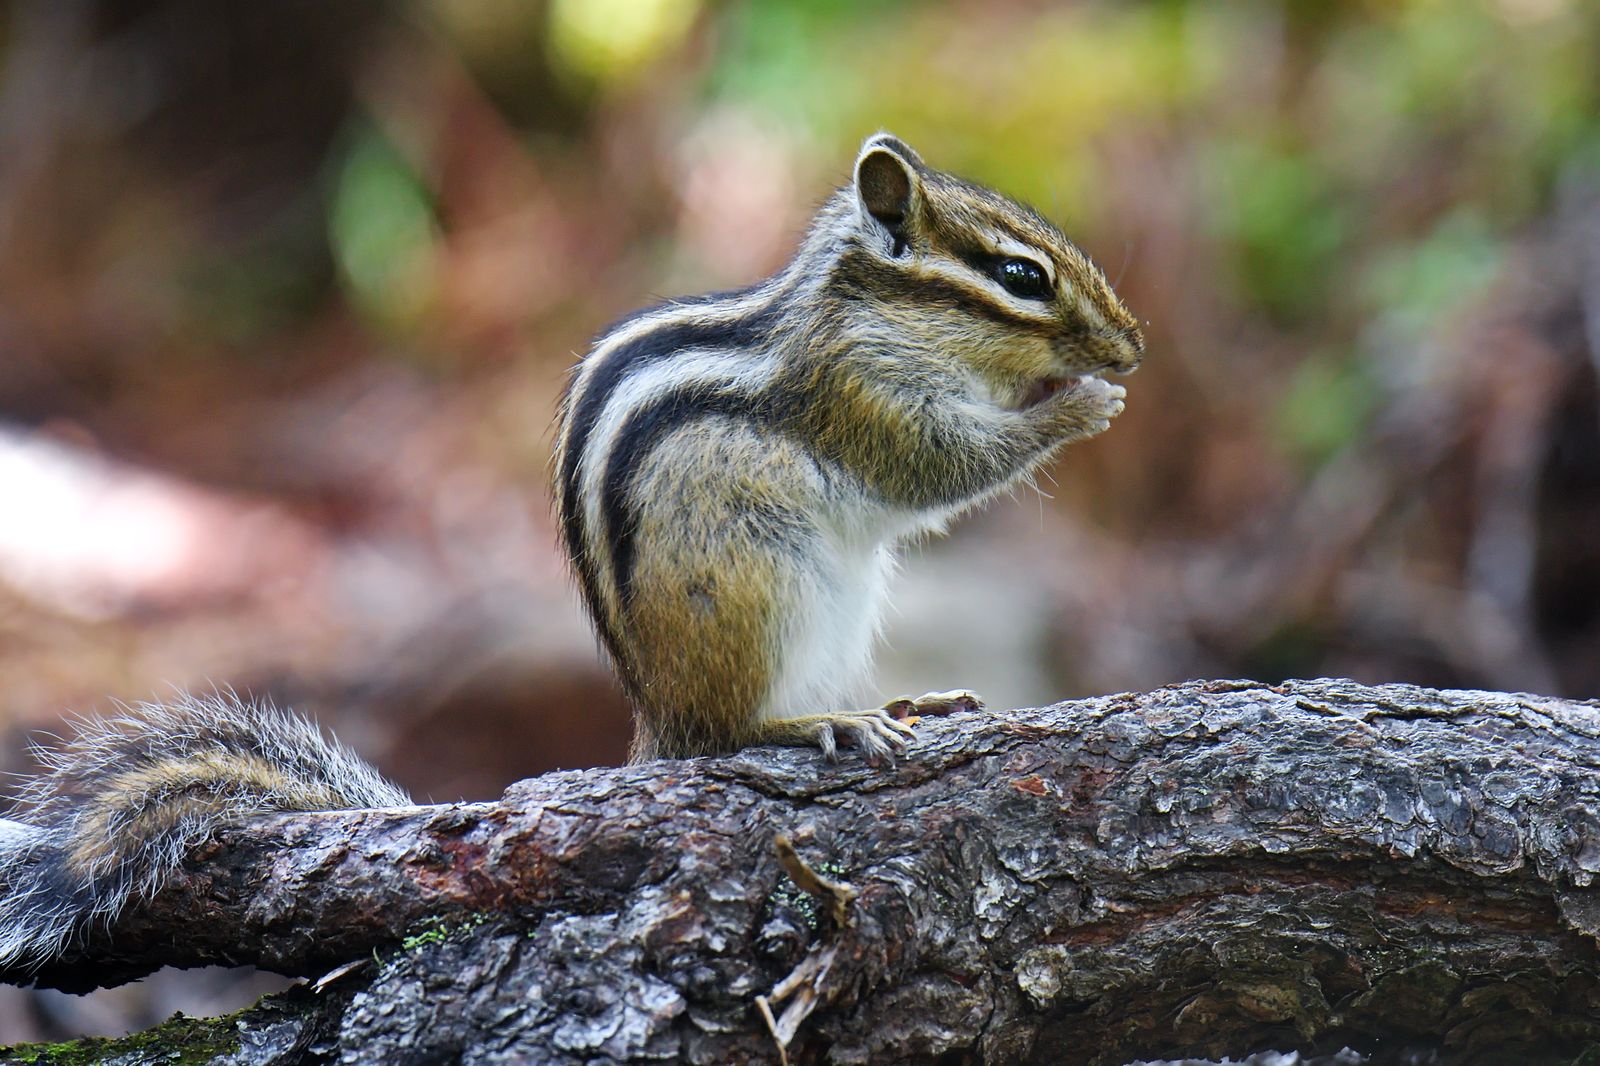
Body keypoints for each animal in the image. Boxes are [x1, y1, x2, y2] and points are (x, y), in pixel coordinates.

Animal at [0, 133, 1140, 970]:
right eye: (1019, 276)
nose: (1131, 347)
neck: (861, 313)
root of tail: (657, 721)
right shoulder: (859, 395)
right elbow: (937, 467)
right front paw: (1078, 405)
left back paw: (903, 703)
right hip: (762, 587)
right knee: (730, 732)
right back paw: (822, 720)